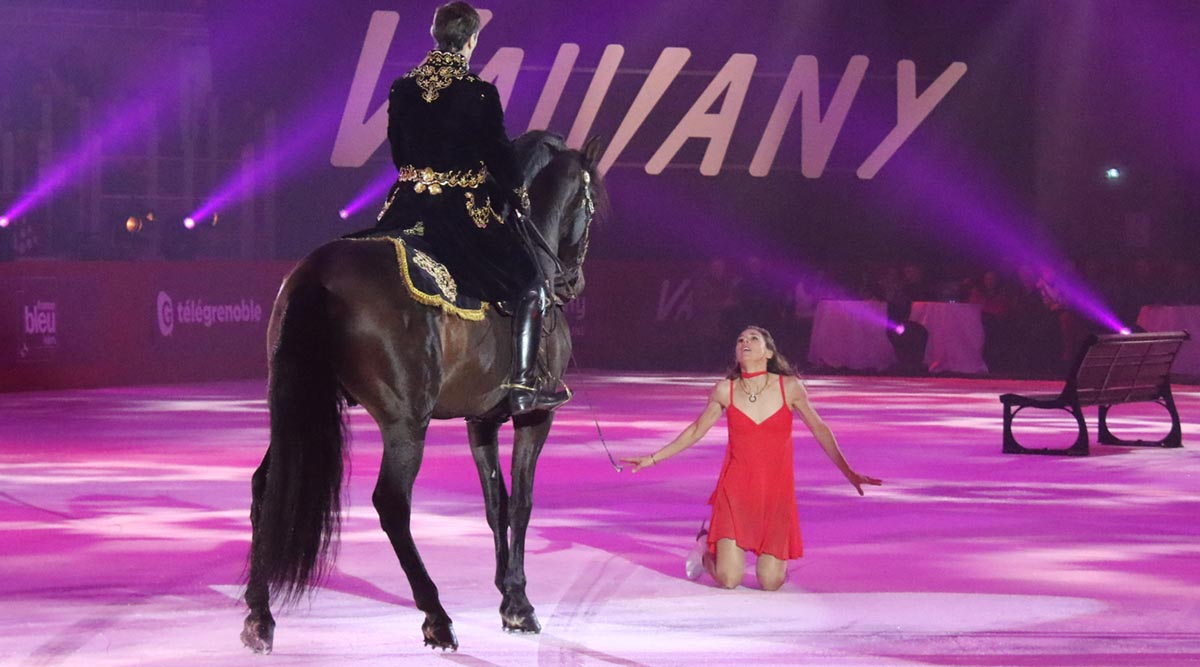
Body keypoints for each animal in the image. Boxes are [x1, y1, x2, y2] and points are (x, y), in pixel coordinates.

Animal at [240, 133, 604, 652]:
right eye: (591, 207)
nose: (572, 281)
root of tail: (318, 271)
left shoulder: (482, 419)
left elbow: (495, 502)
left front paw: (506, 595)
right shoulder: (534, 417)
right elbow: (521, 501)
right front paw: (520, 605)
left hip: (293, 406)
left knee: (266, 487)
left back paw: (259, 616)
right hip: (406, 423)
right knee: (392, 504)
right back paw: (435, 615)